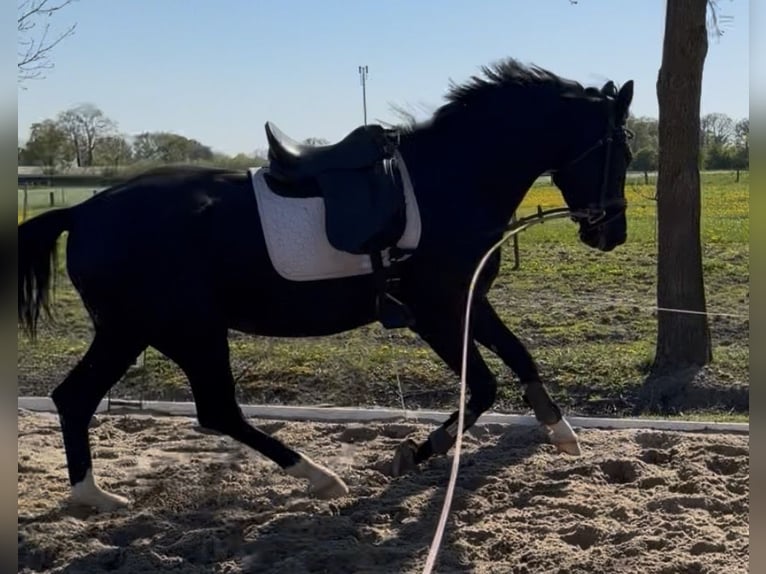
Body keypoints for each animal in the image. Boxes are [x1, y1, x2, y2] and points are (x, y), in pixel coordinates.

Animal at [18, 58, 634, 512]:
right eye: (622, 150)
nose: (612, 233)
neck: (451, 179)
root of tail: (83, 211)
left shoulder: (469, 299)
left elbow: (521, 356)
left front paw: (561, 431)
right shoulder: (435, 309)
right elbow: (482, 386)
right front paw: (417, 452)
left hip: (133, 332)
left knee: (77, 399)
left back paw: (93, 496)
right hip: (182, 330)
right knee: (214, 410)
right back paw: (320, 478)